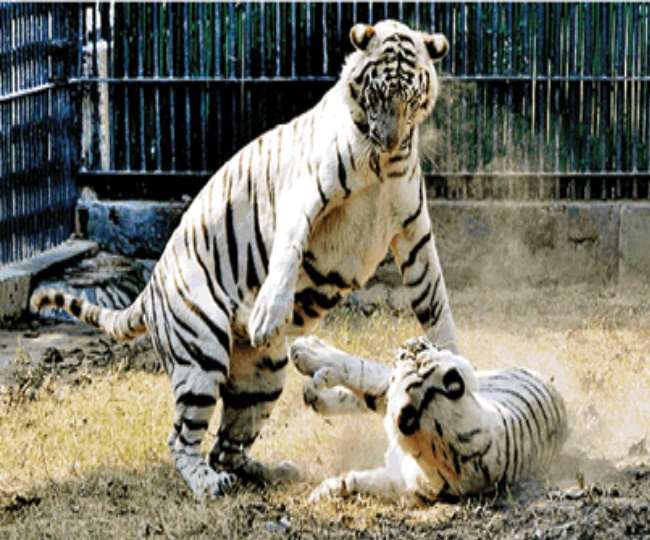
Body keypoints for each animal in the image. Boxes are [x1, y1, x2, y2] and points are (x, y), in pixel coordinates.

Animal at [30, 20, 458, 497]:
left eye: (411, 99)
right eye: (378, 94)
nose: (388, 139)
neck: (382, 164)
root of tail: (150, 289)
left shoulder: (413, 231)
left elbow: (434, 299)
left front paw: (449, 353)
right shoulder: (302, 196)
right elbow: (288, 251)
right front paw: (268, 314)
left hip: (264, 376)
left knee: (227, 446)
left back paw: (272, 472)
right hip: (200, 354)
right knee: (182, 438)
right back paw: (208, 484)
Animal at [290, 336, 568, 503]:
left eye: (414, 352)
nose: (413, 341)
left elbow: (360, 369)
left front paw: (305, 349)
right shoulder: (402, 480)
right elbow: (356, 480)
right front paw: (321, 493)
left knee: (369, 383)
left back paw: (316, 382)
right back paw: (314, 391)